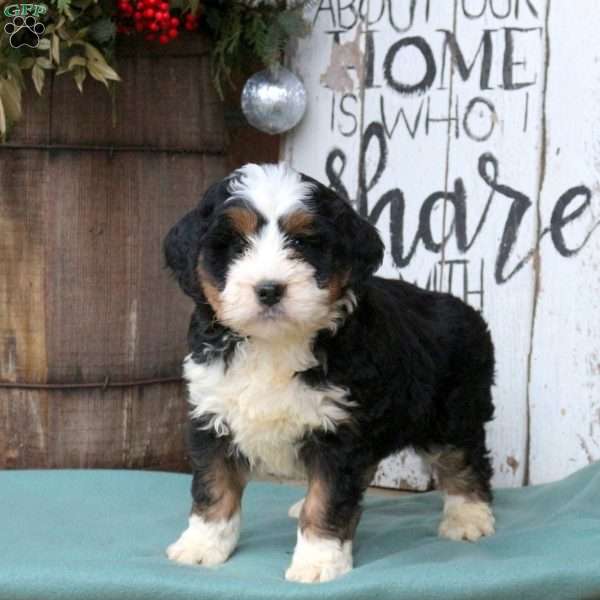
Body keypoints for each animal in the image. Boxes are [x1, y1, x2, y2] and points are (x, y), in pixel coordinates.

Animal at [162, 163, 494, 580]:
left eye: (303, 244)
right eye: (236, 247)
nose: (269, 289)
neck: (274, 343)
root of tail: (462, 307)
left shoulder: (339, 430)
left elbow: (327, 497)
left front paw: (319, 561)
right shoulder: (212, 415)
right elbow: (213, 486)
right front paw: (202, 545)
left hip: (454, 413)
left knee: (465, 460)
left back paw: (469, 516)